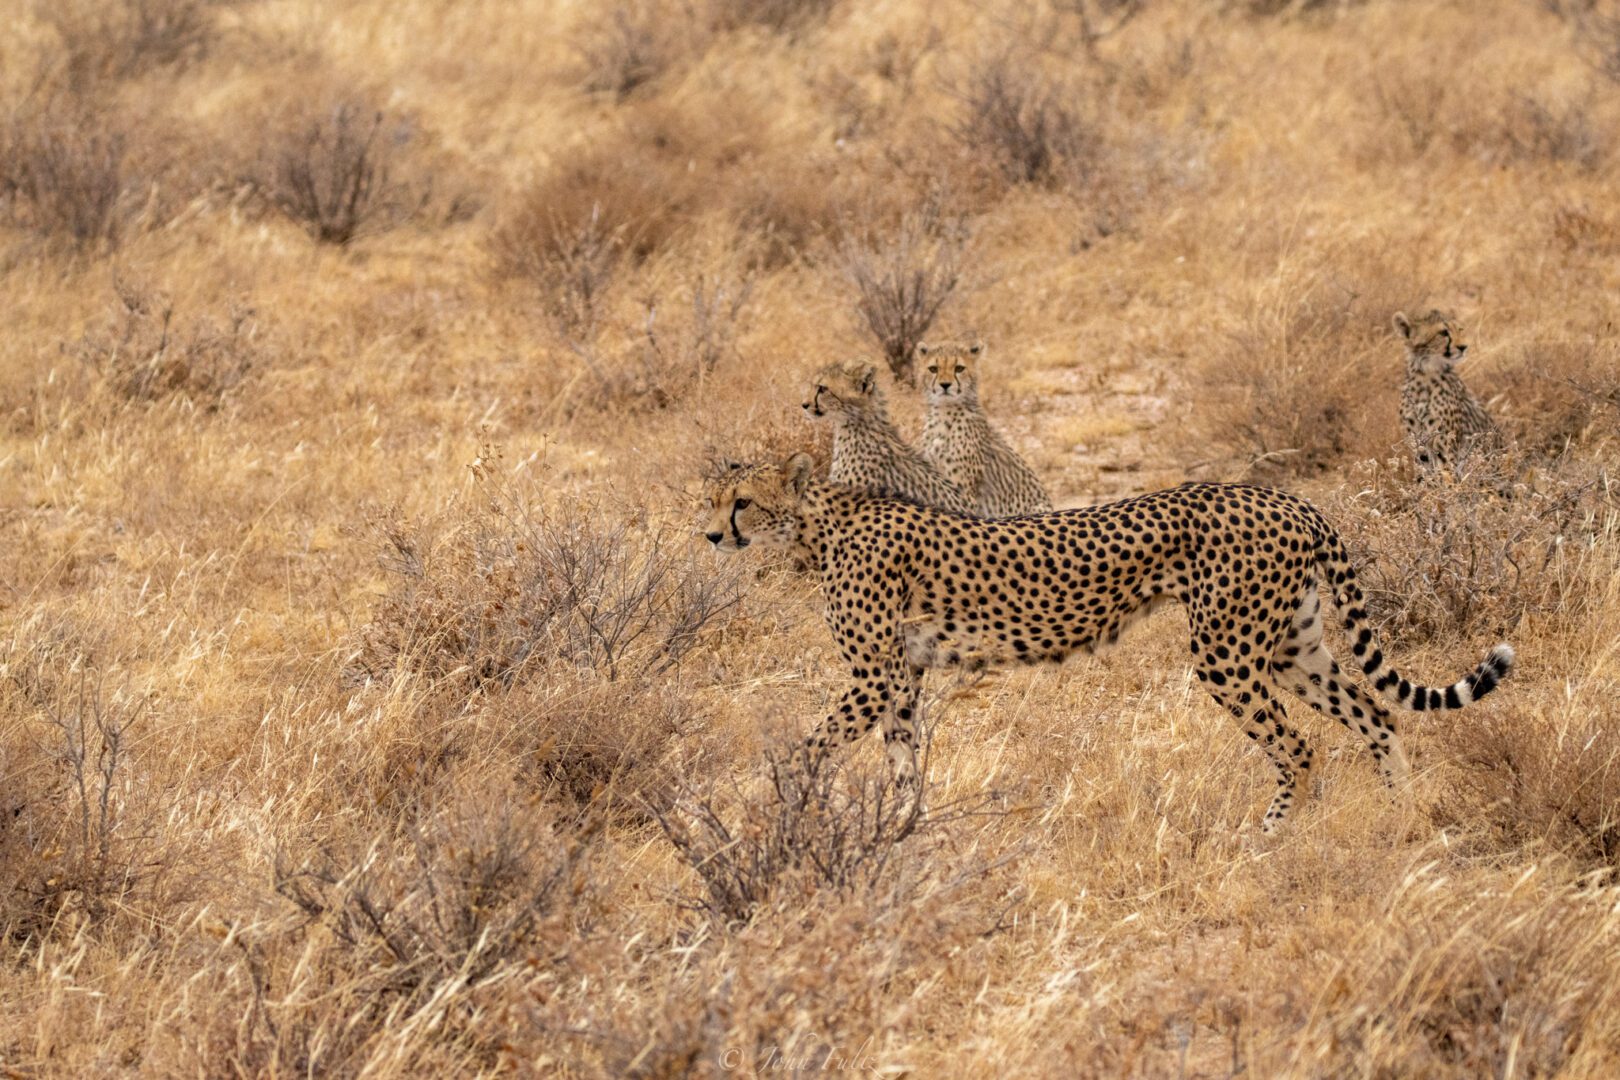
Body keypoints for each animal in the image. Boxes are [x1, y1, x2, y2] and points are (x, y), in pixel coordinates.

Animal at [703, 456, 1509, 835]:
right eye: (711, 499)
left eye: (743, 502)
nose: (711, 536)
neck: (818, 525)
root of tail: (1287, 497)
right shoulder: (900, 678)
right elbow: (903, 763)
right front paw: (902, 832)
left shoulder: (873, 676)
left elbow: (809, 748)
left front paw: (772, 810)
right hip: (1290, 646)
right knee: (1378, 714)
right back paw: (1402, 817)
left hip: (1227, 653)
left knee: (1298, 745)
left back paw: (1273, 835)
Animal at [920, 341, 1056, 518]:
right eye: (933, 369)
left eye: (959, 368)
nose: (945, 385)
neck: (944, 412)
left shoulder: (964, 494)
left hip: (1038, 508)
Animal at [1393, 306, 1503, 469]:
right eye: (1443, 332)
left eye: (1460, 329)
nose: (1463, 347)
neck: (1425, 374)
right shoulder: (1418, 442)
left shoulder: (1444, 443)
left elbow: (1445, 471)